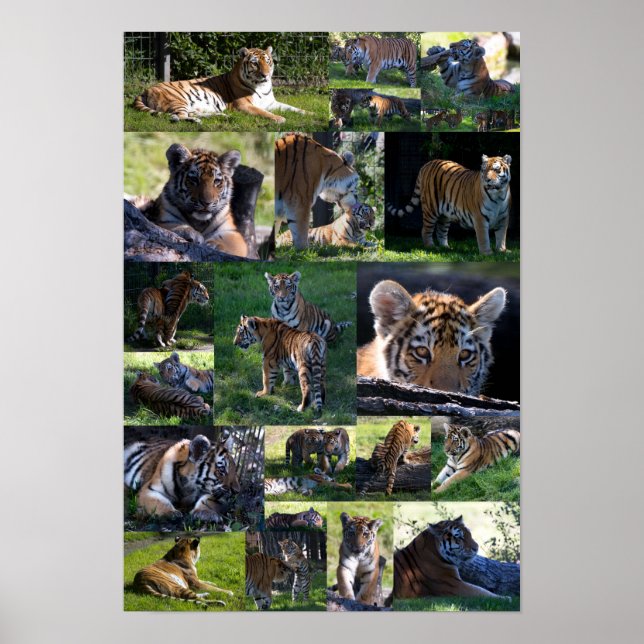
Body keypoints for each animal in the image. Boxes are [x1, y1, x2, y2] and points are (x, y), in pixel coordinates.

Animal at [134, 46, 306, 124]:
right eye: (255, 63)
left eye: (268, 62)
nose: (266, 75)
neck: (262, 87)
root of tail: (144, 90)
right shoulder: (243, 105)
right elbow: (263, 112)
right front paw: (279, 118)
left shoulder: (271, 103)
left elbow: (294, 108)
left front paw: (308, 113)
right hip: (177, 100)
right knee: (178, 116)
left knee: (190, 114)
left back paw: (222, 116)